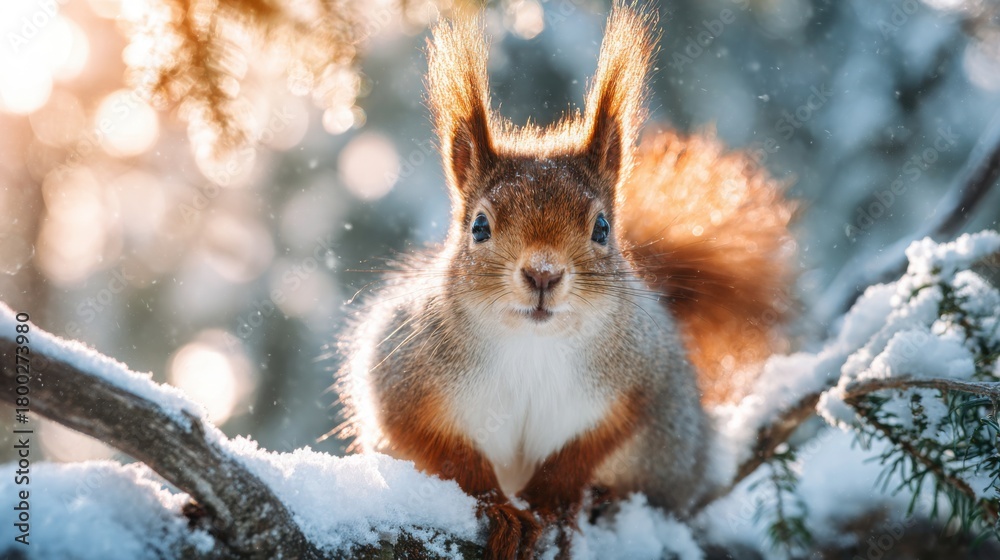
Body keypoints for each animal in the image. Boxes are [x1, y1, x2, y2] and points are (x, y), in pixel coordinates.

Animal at [337, 4, 794, 559]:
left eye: (602, 228)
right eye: (479, 227)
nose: (543, 273)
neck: (534, 345)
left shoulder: (642, 377)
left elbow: (586, 449)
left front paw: (554, 502)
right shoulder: (402, 378)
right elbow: (444, 452)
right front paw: (499, 508)